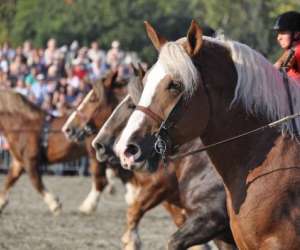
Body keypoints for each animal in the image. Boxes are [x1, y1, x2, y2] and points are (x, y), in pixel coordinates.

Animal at [0, 71, 122, 215]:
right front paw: (1, 202)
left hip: (94, 155)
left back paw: (88, 205)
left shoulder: (30, 160)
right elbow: (9, 179)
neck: (21, 125)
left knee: (100, 180)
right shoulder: (18, 162)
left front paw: (54, 204)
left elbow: (36, 182)